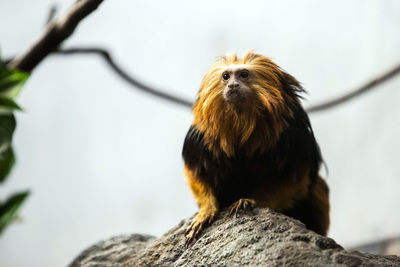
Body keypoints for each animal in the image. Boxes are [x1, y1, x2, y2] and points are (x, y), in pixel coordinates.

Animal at [183, 50, 330, 247]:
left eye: (244, 75)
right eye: (226, 76)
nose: (233, 85)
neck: (242, 122)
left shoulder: (293, 134)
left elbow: (296, 181)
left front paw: (249, 201)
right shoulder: (199, 138)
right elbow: (196, 174)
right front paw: (207, 210)